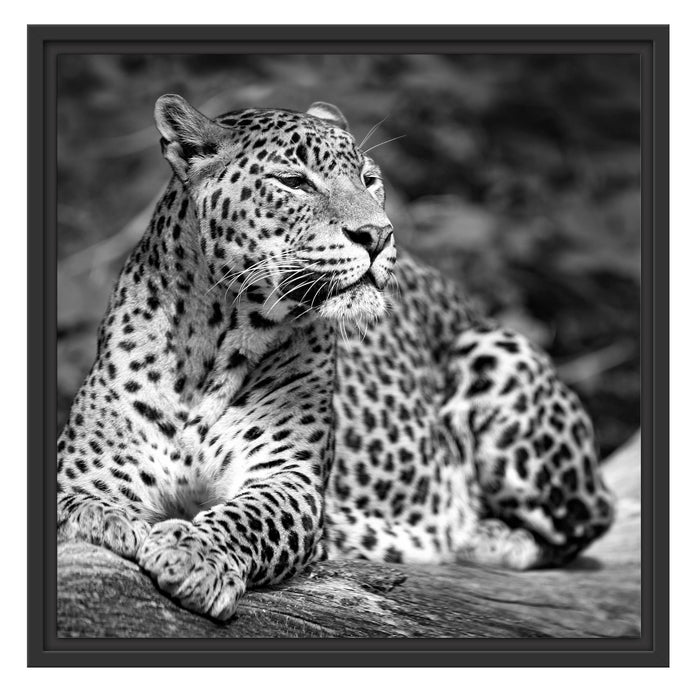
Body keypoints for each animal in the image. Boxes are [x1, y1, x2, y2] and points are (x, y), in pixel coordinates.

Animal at [57, 94, 616, 621]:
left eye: (370, 180)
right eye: (293, 182)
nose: (379, 234)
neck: (214, 342)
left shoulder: (290, 480)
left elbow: (247, 518)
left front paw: (193, 553)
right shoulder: (87, 466)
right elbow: (77, 500)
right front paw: (103, 519)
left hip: (497, 351)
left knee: (590, 519)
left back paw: (481, 536)